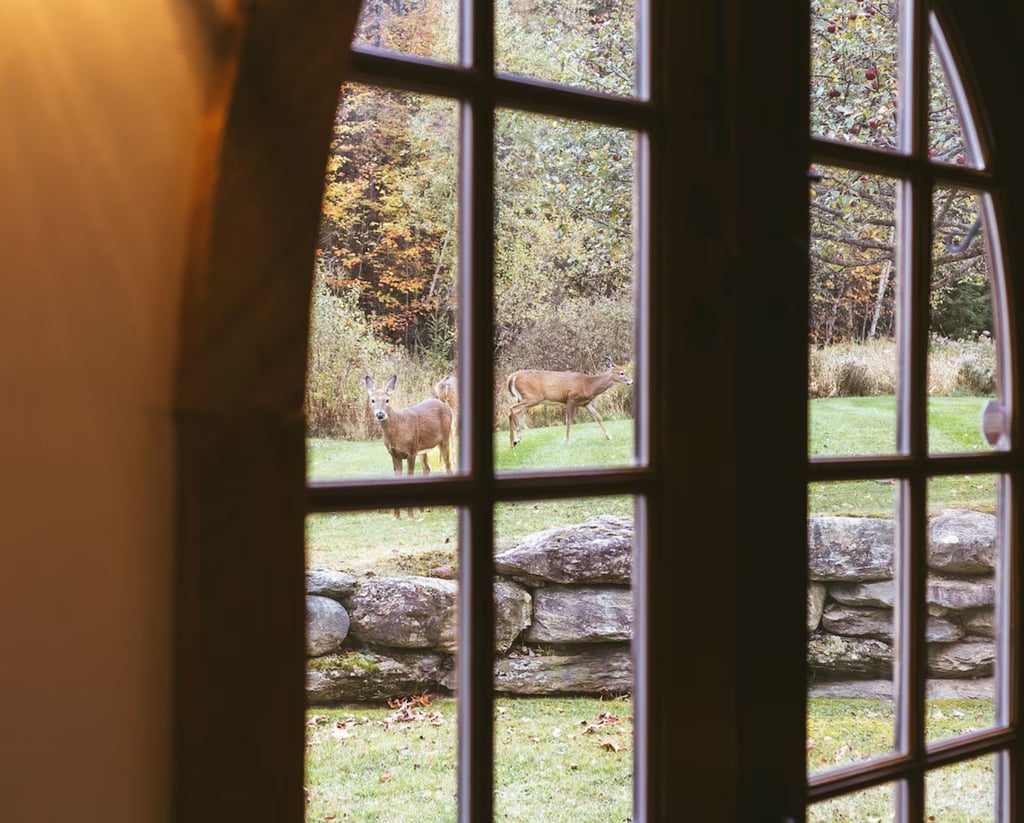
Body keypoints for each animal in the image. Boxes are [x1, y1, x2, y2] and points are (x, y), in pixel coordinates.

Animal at [364, 374, 452, 517]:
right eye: (372, 400)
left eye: (387, 400)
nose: (380, 414)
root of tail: (445, 405)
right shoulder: (394, 454)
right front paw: (396, 516)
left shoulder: (411, 451)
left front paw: (410, 515)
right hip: (423, 449)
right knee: (427, 468)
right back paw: (424, 509)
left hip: (444, 438)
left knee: (448, 465)